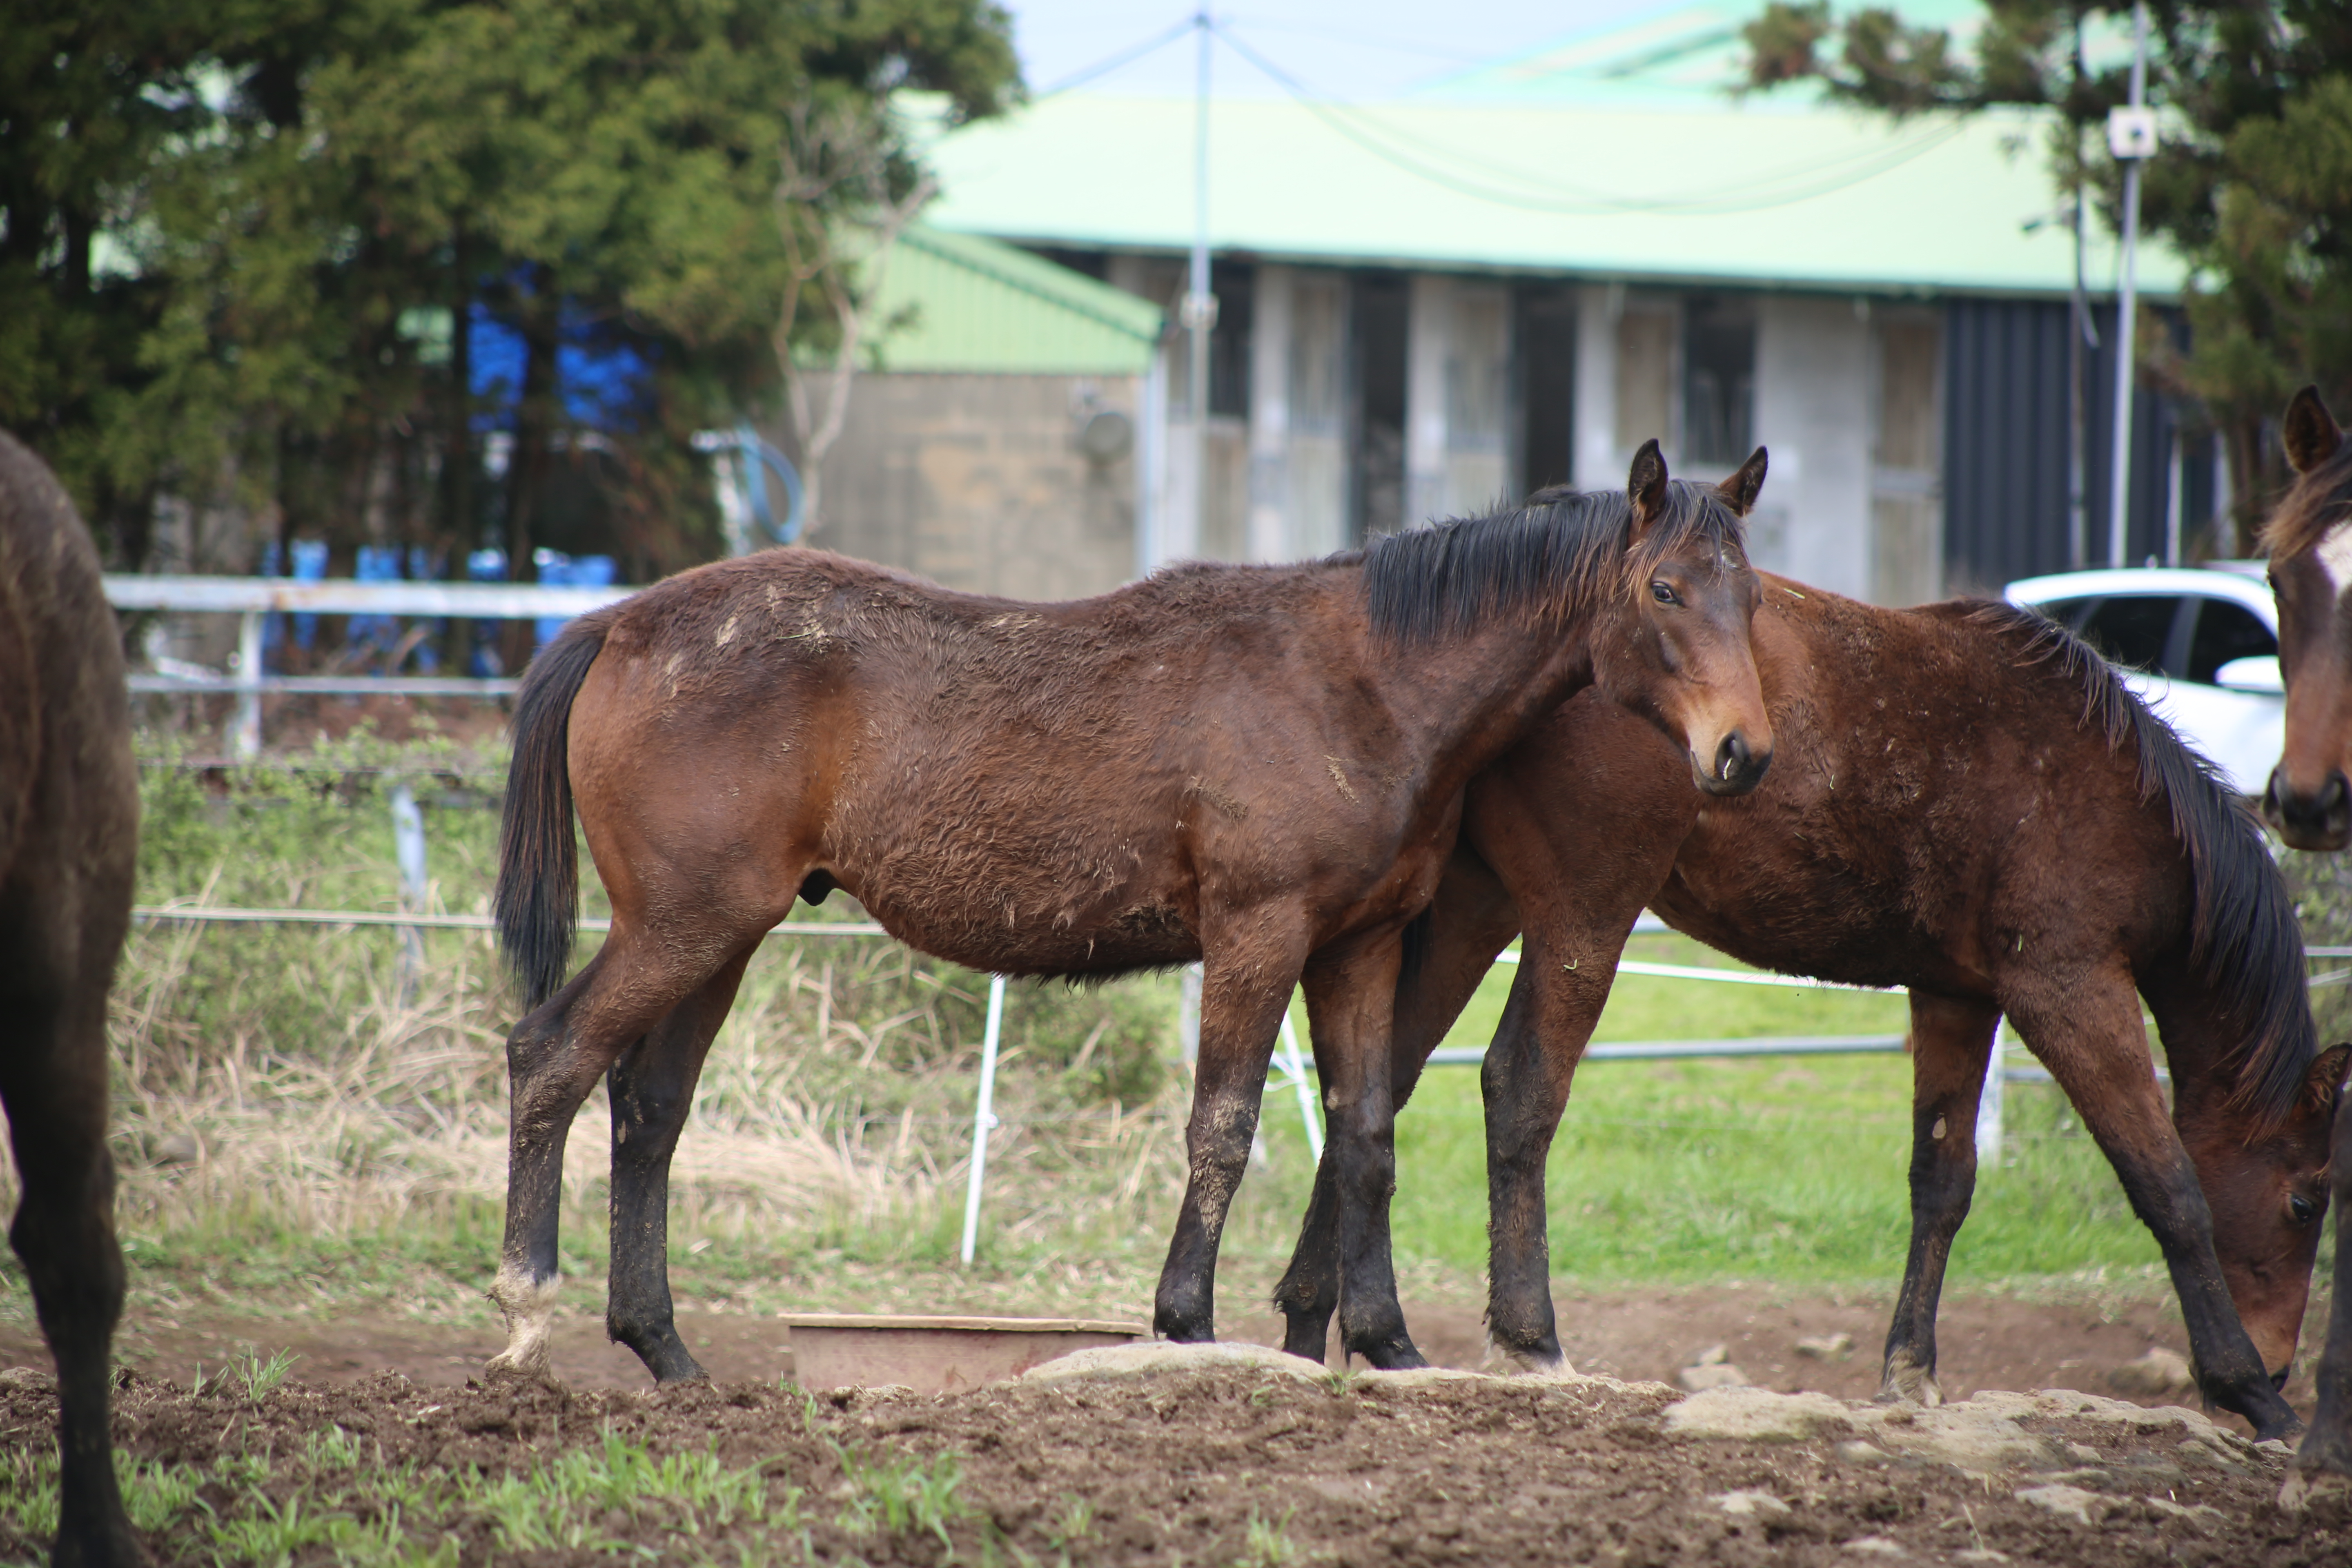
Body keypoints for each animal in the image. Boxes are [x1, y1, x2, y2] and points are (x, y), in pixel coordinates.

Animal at [487, 444, 1768, 1382]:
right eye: (1664, 589)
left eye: (1751, 596)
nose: (1743, 754)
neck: (1360, 684)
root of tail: (618, 625)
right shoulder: (1258, 934)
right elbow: (1224, 1126)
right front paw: (1185, 1323)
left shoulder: (1356, 949)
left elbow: (1363, 1138)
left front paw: (1389, 1345)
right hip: (683, 928)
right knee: (549, 1058)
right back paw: (524, 1306)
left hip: (719, 936)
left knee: (649, 1110)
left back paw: (665, 1352)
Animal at [1279, 576, 2342, 1448]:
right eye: (2304, 1200)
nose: (2282, 1356)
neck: (2107, 791)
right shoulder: (2069, 987)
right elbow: (2167, 1185)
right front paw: (2251, 1393)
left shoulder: (1957, 996)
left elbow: (1942, 1181)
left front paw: (1909, 1372)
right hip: (1583, 911)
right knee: (1518, 1088)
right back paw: (1526, 1339)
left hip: (1475, 904)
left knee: (1375, 1089)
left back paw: (1311, 1323)